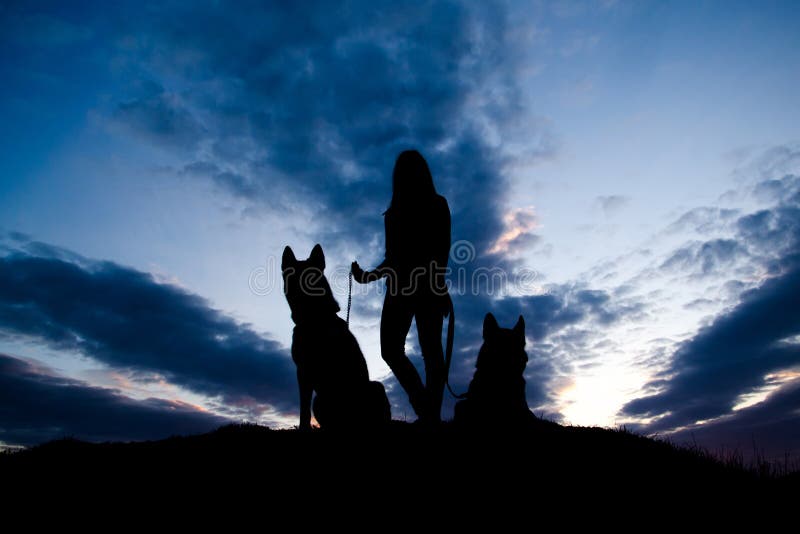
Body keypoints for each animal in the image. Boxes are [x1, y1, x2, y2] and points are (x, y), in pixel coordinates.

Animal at [282, 246, 392, 432]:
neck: (316, 317)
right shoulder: (303, 371)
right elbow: (304, 409)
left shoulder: (304, 371)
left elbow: (304, 410)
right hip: (319, 401)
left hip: (375, 387)